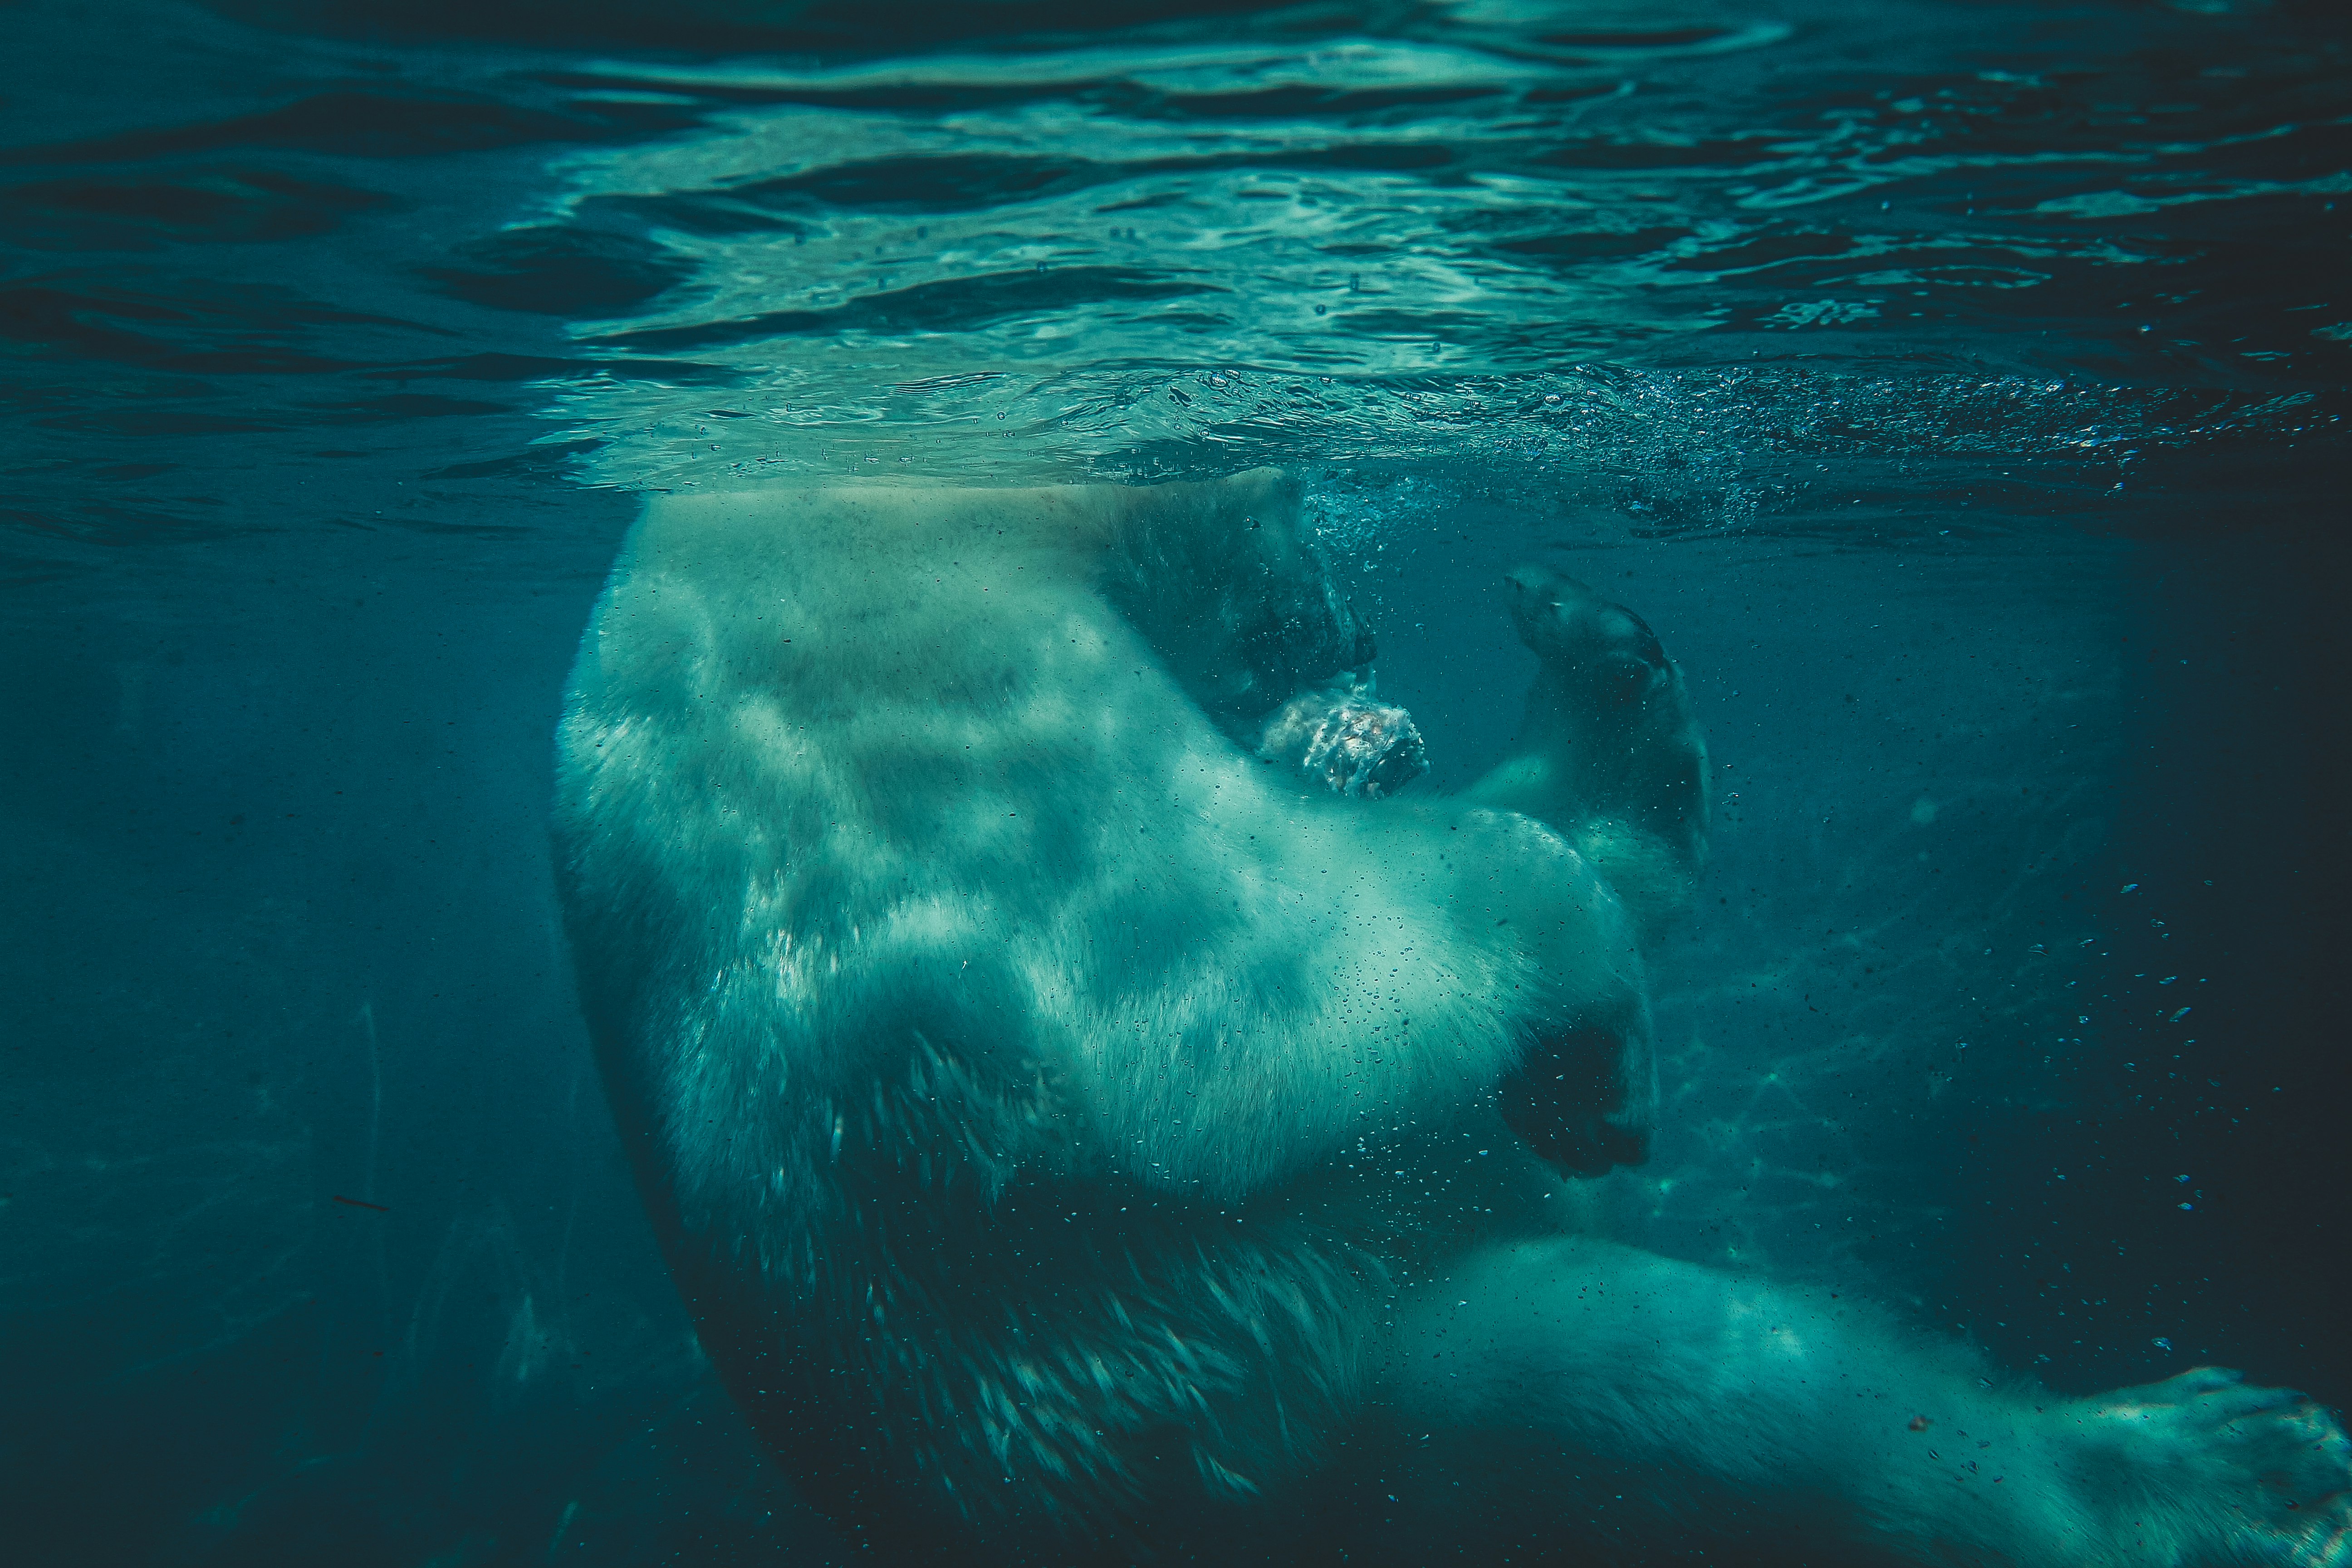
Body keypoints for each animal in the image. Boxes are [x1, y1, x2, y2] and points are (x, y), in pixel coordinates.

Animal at [555, 472, 2352, 1561]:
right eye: (1289, 498)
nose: (1356, 625)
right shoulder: (945, 728)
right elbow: (1237, 992)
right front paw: (1596, 1060)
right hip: (1268, 1364)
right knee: (1675, 1391)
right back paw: (2203, 1464)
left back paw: (1603, 667)